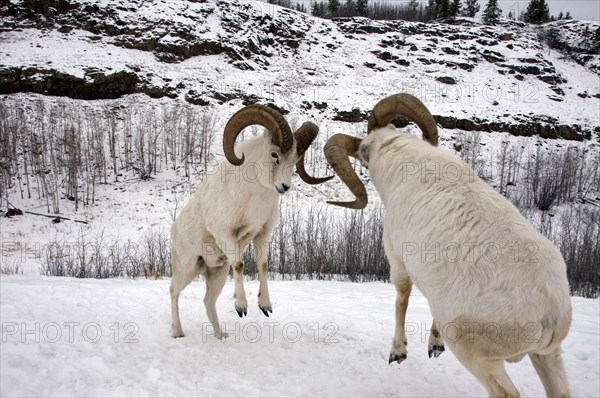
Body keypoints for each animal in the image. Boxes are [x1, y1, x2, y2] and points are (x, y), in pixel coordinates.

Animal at [171, 105, 330, 338]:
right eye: (274, 155)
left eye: (294, 160)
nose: (284, 187)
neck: (251, 200)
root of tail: (174, 231)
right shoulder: (226, 235)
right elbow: (239, 265)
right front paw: (242, 307)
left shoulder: (261, 234)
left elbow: (262, 265)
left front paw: (265, 306)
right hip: (187, 267)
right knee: (174, 291)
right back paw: (178, 332)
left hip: (217, 274)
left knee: (208, 301)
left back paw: (221, 336)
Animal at [324, 94, 572, 398]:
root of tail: (549, 313)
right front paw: (434, 344)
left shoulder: (398, 261)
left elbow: (402, 298)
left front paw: (398, 353)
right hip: (549, 356)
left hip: (478, 357)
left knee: (506, 393)